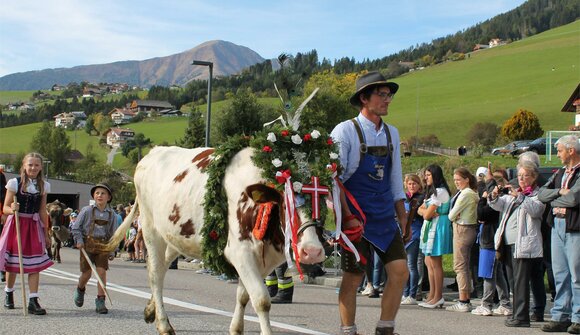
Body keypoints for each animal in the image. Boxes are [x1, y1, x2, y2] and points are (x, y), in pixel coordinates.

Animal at [105, 147, 326, 335]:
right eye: (286, 205)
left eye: (323, 203)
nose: (312, 251)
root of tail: (153, 152)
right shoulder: (240, 252)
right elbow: (261, 300)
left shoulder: (260, 260)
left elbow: (243, 295)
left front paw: (236, 329)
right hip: (151, 229)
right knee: (155, 274)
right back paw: (164, 325)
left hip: (175, 237)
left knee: (161, 267)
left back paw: (150, 311)